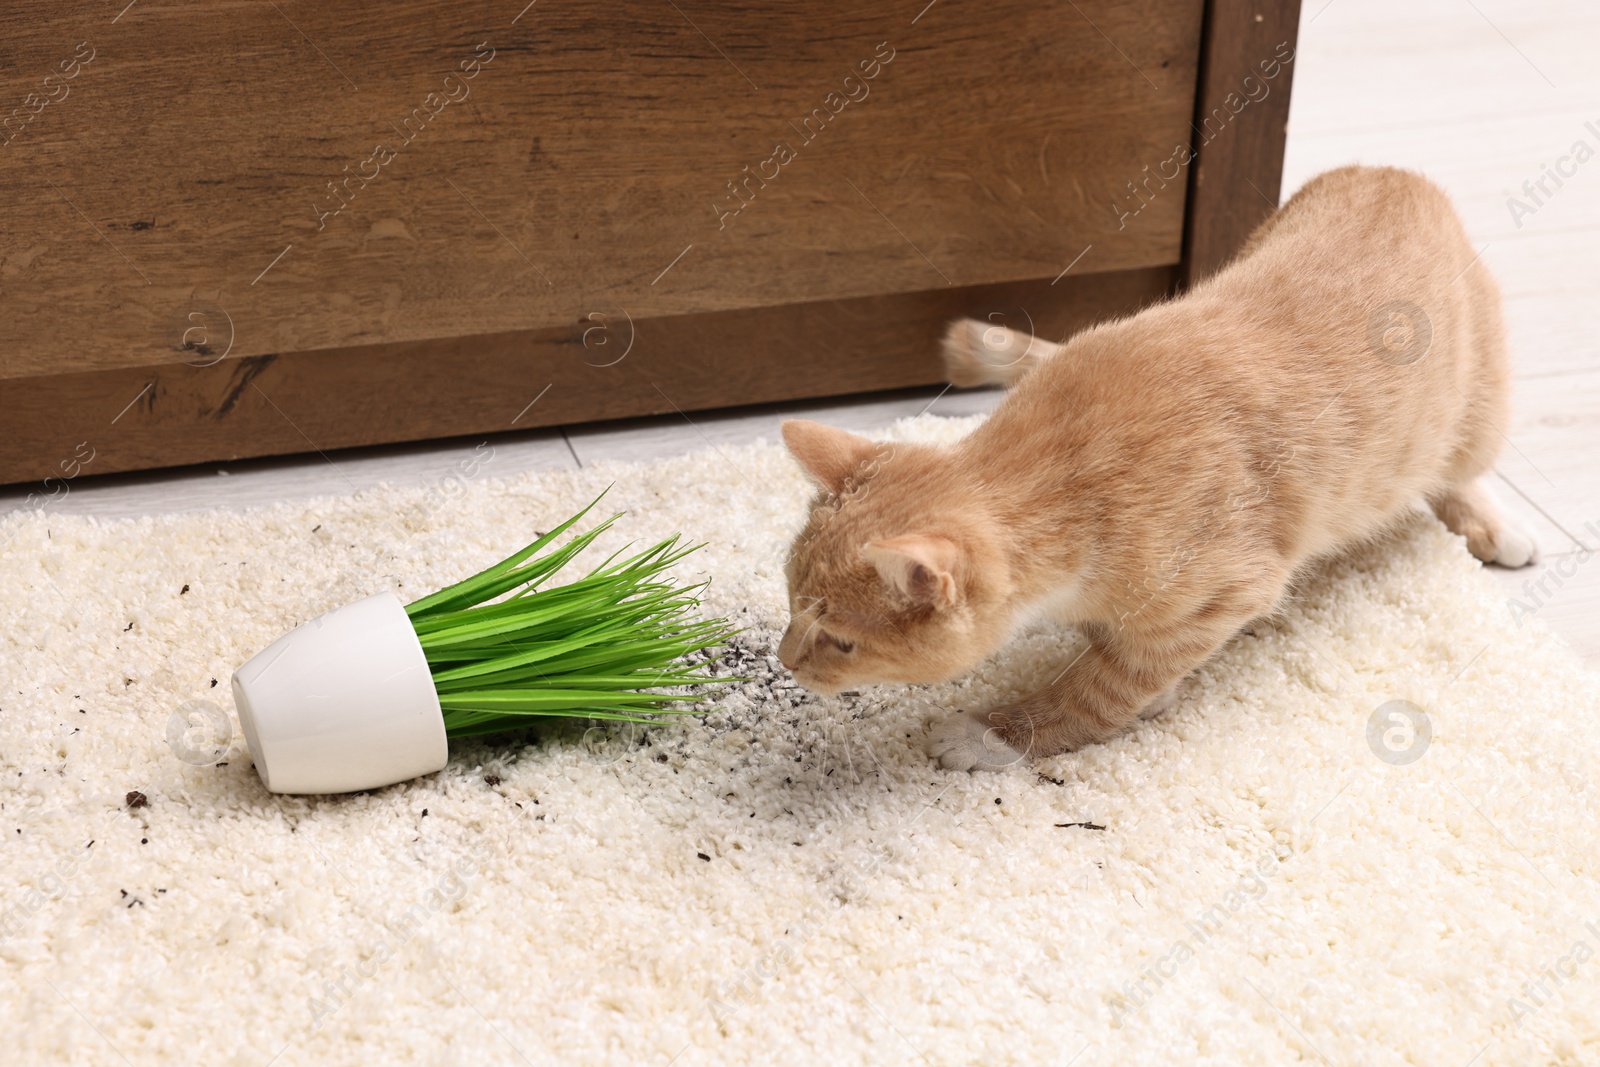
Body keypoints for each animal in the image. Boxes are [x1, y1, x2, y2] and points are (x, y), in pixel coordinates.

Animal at [774, 164, 1536, 767]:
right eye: (789, 608)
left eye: (840, 641)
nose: (785, 660)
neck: (1074, 480)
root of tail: (1390, 173)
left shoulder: (1224, 591)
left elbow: (1103, 684)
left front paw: (1000, 732)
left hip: (1477, 412)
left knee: (1457, 471)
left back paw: (1493, 527)